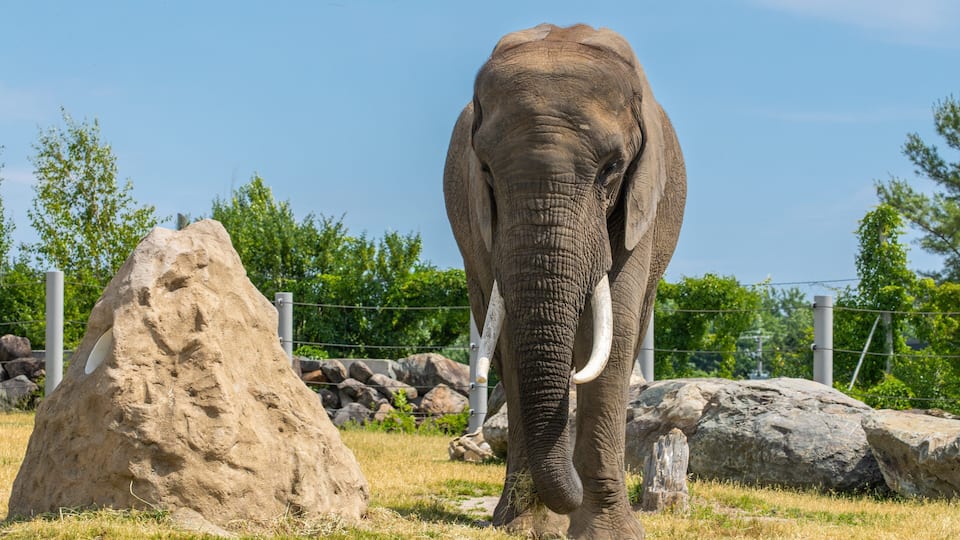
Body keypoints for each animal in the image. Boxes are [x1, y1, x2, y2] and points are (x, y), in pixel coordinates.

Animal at [443, 24, 686, 538]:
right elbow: (509, 334)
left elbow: (614, 330)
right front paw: (525, 527)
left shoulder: (641, 206)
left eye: (612, 168)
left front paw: (609, 533)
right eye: (486, 170)